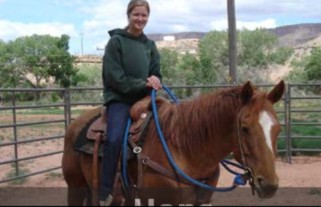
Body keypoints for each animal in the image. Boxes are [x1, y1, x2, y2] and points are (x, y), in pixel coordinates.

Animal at [61, 81, 284, 205]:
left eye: (278, 129)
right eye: (245, 128)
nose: (270, 185)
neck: (185, 150)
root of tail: (76, 124)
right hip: (75, 186)